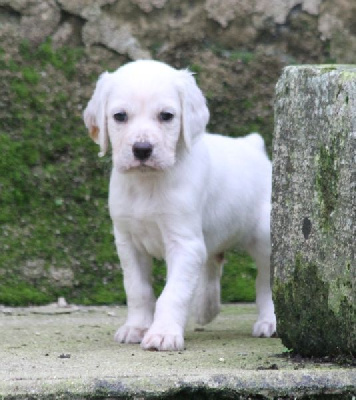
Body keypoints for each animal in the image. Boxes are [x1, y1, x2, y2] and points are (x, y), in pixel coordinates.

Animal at [83, 59, 276, 350]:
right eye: (120, 116)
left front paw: (163, 333)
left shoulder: (184, 243)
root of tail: (253, 145)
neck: (147, 184)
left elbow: (172, 293)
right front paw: (136, 327)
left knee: (266, 281)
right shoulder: (128, 243)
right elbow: (137, 289)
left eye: (166, 116)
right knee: (212, 262)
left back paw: (269, 321)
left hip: (265, 237)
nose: (142, 149)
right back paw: (206, 308)